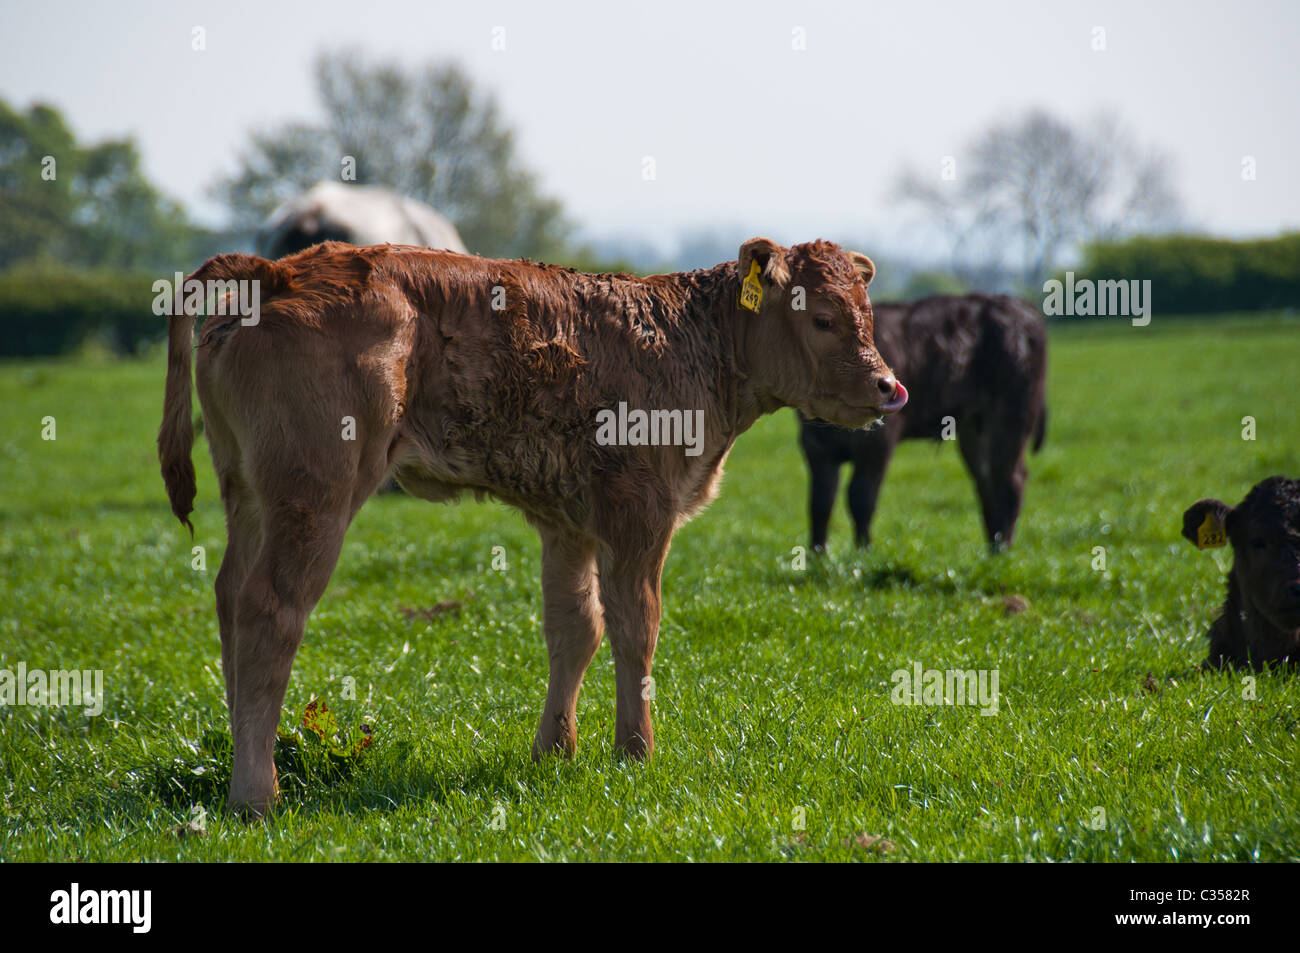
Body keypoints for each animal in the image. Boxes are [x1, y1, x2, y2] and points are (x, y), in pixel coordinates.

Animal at [159, 236, 904, 811]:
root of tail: (276, 268)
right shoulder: (640, 510)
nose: (888, 386)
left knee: (230, 596)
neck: (689, 342)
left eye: (866, 312)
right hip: (315, 494)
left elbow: (576, 628)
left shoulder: (566, 519)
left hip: (249, 493)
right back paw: (256, 792)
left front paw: (555, 749)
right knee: (270, 610)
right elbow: (636, 626)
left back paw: (240, 753)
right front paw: (636, 751)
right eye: (822, 318)